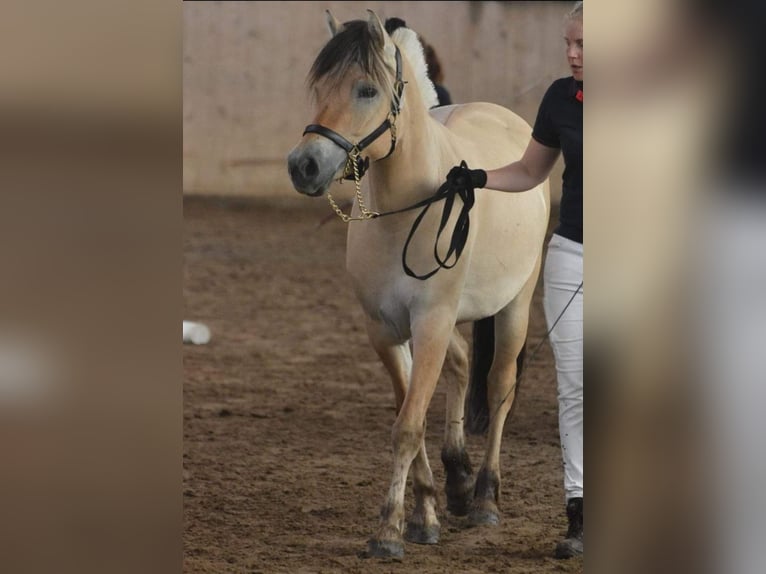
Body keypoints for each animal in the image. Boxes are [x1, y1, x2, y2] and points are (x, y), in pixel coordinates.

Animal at [284, 7, 548, 560]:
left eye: (366, 89)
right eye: (319, 87)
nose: (304, 166)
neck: (407, 210)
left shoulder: (428, 324)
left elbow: (407, 426)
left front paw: (388, 531)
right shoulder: (385, 330)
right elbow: (412, 415)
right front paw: (424, 516)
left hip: (513, 305)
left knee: (499, 386)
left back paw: (485, 497)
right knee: (464, 366)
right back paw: (458, 480)